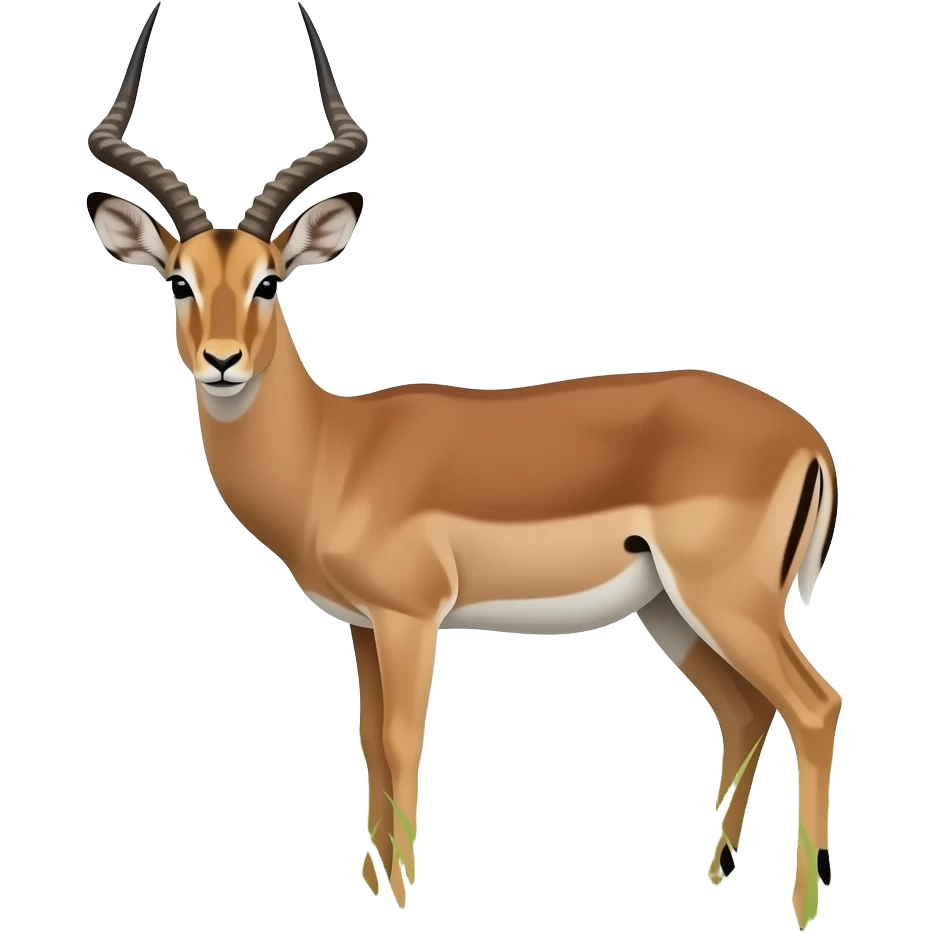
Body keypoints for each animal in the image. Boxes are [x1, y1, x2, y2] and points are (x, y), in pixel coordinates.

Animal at [85, 3, 842, 924]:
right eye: (177, 282)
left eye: (270, 282)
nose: (222, 361)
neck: (336, 453)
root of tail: (806, 436)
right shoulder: (363, 625)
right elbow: (368, 746)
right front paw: (377, 894)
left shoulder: (412, 617)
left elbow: (403, 744)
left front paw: (405, 898)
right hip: (671, 607)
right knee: (743, 708)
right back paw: (714, 876)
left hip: (726, 599)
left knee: (812, 704)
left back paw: (804, 905)